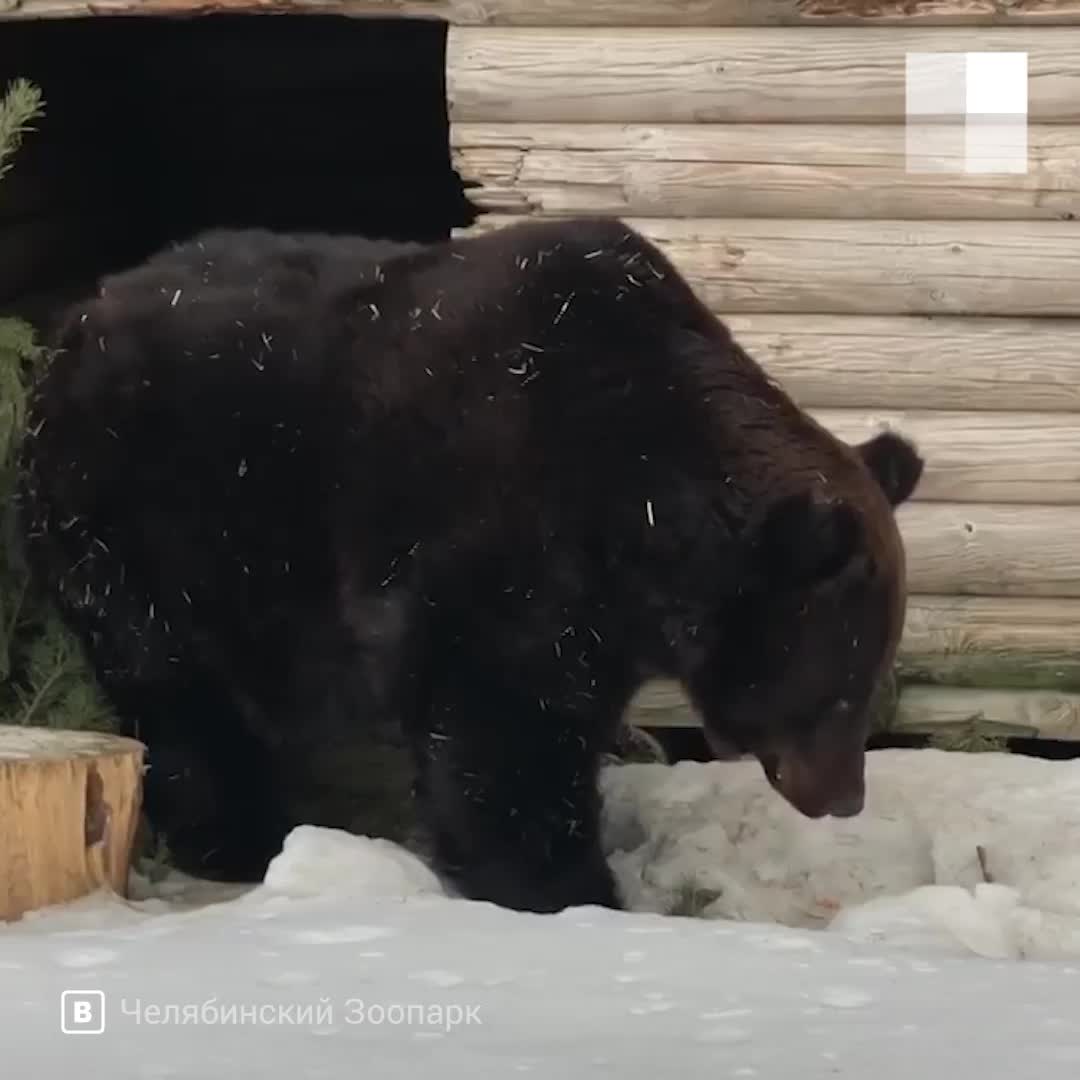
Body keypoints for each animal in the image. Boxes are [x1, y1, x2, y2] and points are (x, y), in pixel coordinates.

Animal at [16, 217, 920, 911]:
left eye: (867, 672)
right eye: (844, 681)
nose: (845, 797)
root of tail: (71, 324)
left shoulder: (603, 607)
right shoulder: (499, 530)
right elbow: (501, 724)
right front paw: (563, 885)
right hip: (148, 523)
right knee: (178, 692)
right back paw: (239, 834)